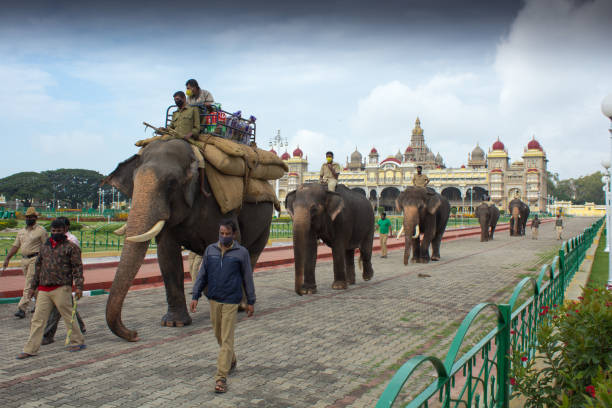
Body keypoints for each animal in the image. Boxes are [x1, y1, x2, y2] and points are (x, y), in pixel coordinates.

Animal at [103, 139, 272, 342]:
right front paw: (174, 323)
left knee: (252, 255)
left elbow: (233, 246)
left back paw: (243, 306)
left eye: (171, 183)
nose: (134, 334)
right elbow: (167, 254)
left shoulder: (219, 205)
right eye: (134, 182)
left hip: (266, 223)